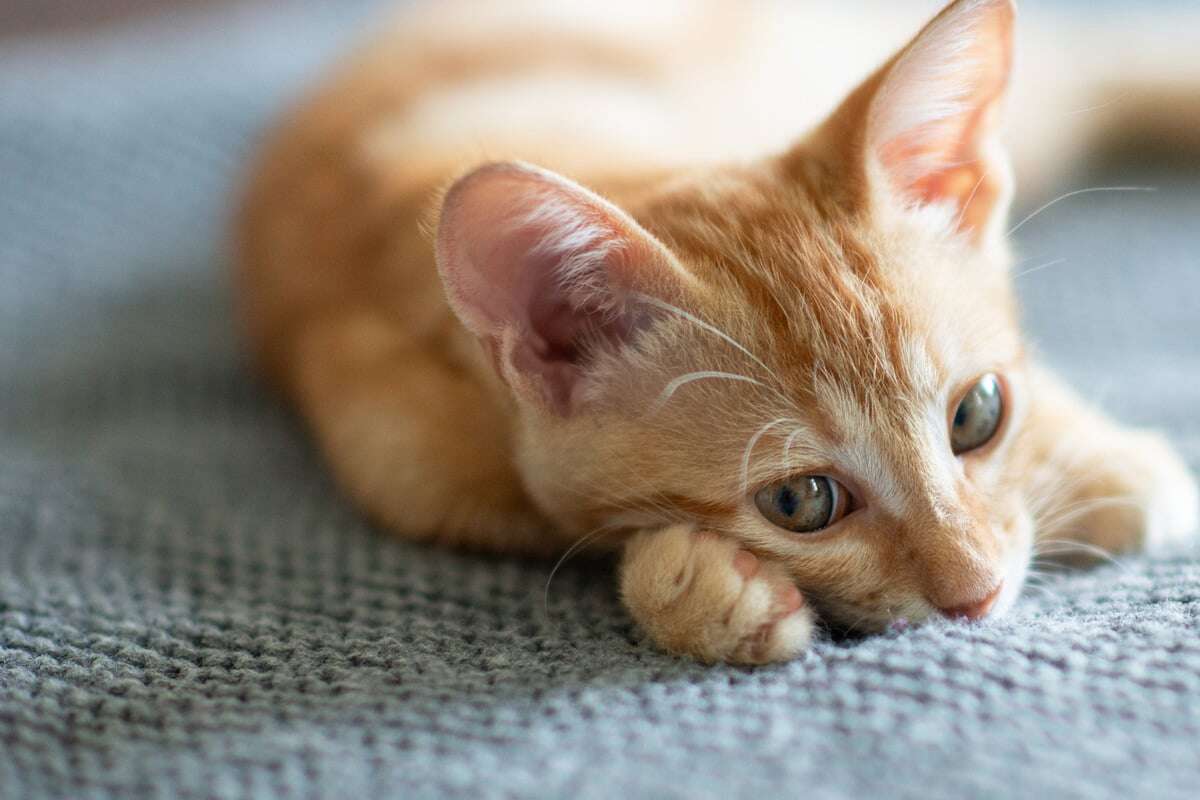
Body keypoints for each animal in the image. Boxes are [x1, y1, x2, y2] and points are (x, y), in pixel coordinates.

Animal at [236, 0, 1200, 662]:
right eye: (801, 502)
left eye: (977, 415)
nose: (979, 595)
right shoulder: (401, 466)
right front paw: (698, 589)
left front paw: (1101, 462)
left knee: (1095, 61)